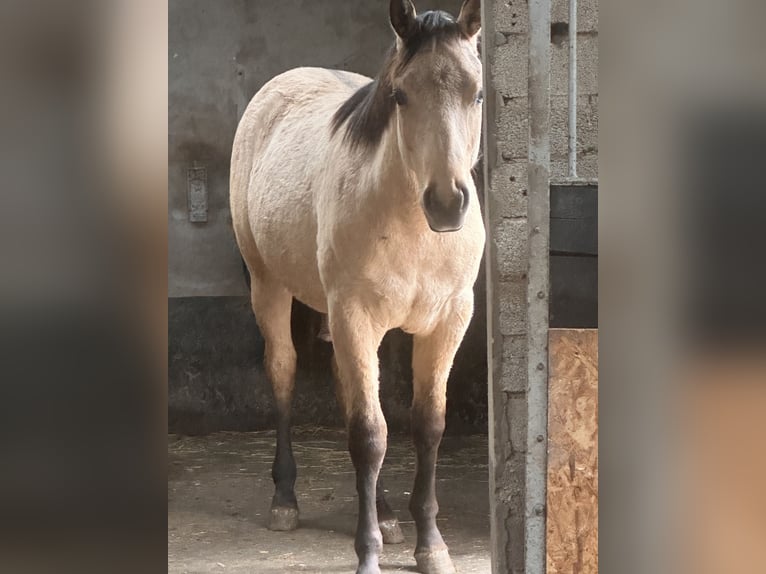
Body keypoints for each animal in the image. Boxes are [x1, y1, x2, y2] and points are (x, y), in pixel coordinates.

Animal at [230, 1, 484, 572]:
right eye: (401, 95)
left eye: (477, 93)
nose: (447, 203)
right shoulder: (354, 314)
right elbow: (369, 435)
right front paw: (367, 553)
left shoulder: (447, 321)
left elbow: (426, 425)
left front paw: (430, 545)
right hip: (270, 287)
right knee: (284, 374)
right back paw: (285, 500)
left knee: (354, 392)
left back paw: (385, 511)